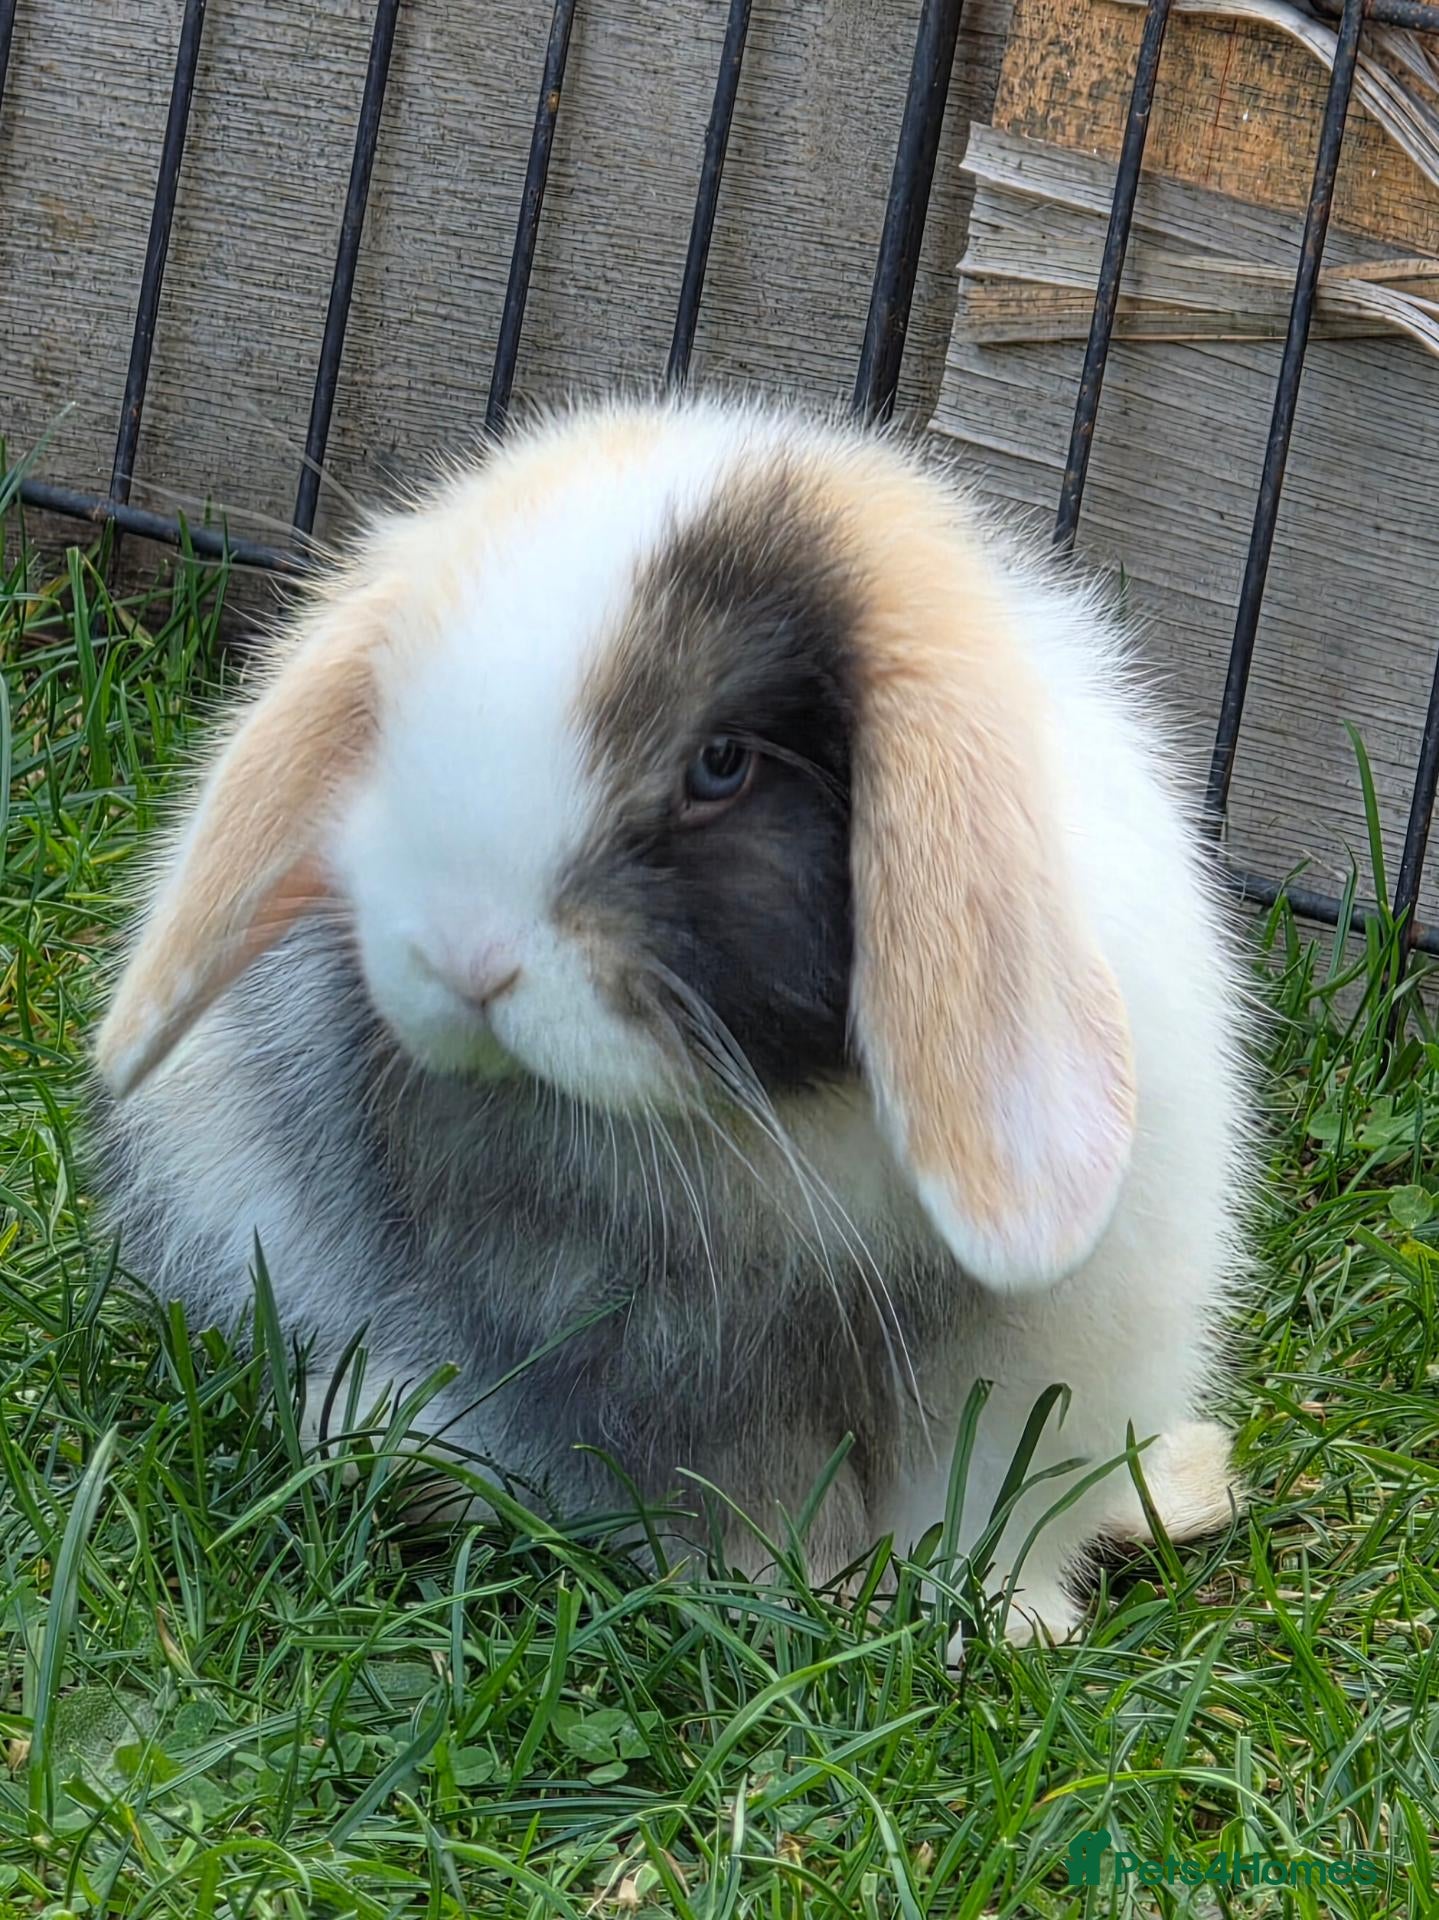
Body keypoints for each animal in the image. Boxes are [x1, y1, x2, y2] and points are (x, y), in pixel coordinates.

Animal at [91, 392, 1254, 1647]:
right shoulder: (648, 1375)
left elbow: (993, 1505)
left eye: (720, 763)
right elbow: (736, 1501)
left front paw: (1002, 1629)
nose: (462, 958)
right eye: (392, 726)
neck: (779, 1125)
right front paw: (781, 1602)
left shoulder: (1031, 1365)